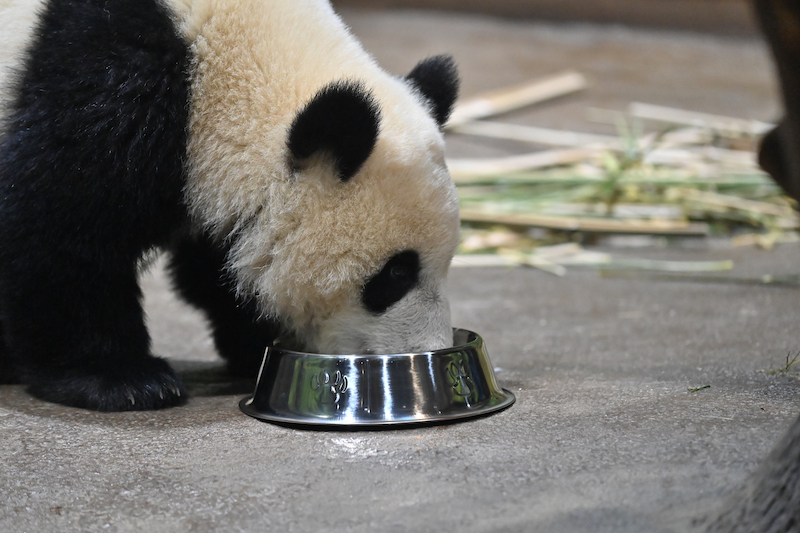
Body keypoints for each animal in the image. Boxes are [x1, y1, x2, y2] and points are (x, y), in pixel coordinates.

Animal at [0, 0, 462, 412]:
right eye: (395, 274)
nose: (430, 349)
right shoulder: (112, 80)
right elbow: (59, 223)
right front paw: (121, 379)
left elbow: (216, 264)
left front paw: (252, 342)